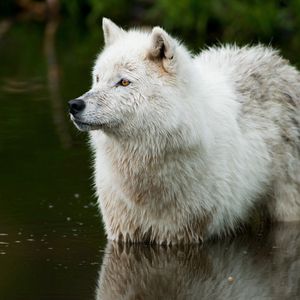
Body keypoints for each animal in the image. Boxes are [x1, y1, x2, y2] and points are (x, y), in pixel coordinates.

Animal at [69, 17, 300, 244]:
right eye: (97, 78)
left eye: (124, 82)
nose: (74, 105)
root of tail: (278, 60)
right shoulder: (123, 232)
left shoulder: (186, 233)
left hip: (287, 208)